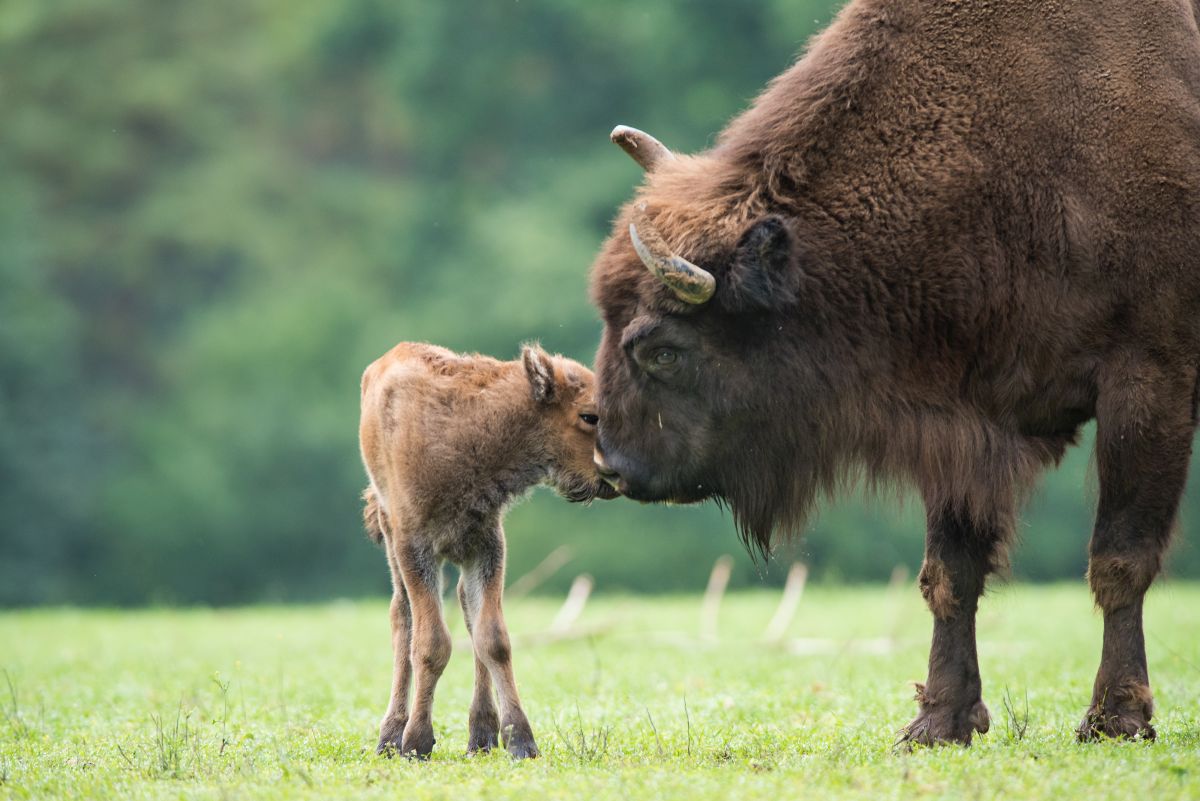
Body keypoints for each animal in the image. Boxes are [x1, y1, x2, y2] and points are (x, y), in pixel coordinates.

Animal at [355, 340, 614, 757]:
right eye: (589, 416)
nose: (613, 474)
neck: (472, 425)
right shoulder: (415, 547)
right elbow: (431, 643)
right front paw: (416, 742)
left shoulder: (486, 545)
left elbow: (493, 639)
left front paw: (521, 741)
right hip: (391, 536)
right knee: (402, 615)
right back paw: (391, 735)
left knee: (465, 608)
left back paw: (482, 735)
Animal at [590, 0, 1200, 743]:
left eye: (660, 348)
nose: (612, 464)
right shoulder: (964, 420)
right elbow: (950, 573)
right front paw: (939, 720)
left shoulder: (1150, 381)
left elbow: (1119, 557)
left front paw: (1116, 718)